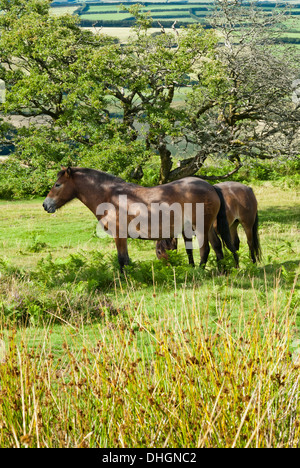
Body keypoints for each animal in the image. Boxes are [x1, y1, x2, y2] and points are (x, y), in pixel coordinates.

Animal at [43, 167, 238, 270]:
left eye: (57, 184)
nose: (46, 205)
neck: (111, 196)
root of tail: (210, 186)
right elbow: (126, 260)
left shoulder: (119, 236)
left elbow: (122, 260)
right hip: (208, 227)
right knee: (217, 246)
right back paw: (221, 271)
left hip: (200, 227)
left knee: (206, 249)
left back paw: (200, 271)